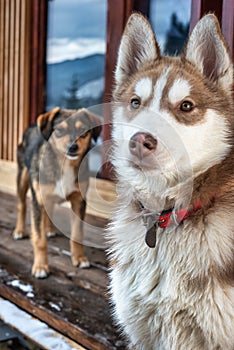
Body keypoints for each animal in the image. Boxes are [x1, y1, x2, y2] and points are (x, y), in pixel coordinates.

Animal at [12, 106, 100, 278]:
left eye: (83, 131)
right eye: (59, 130)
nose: (73, 147)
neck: (64, 165)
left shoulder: (79, 201)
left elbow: (77, 233)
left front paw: (79, 258)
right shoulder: (38, 200)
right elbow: (39, 239)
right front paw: (40, 266)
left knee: (49, 210)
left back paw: (49, 229)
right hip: (22, 177)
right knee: (21, 205)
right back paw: (20, 230)